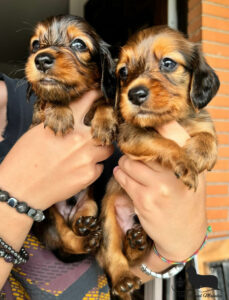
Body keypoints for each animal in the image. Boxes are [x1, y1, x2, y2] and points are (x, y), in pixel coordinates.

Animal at [25, 15, 117, 260]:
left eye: (78, 44)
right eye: (35, 45)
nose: (41, 59)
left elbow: (104, 101)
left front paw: (105, 124)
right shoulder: (36, 118)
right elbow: (49, 99)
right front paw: (58, 113)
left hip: (89, 205)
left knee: (77, 225)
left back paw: (86, 227)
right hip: (49, 218)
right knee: (68, 241)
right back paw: (87, 238)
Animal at [113, 120, 207, 282]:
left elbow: (208, 135)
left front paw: (198, 154)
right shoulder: (132, 133)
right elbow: (164, 142)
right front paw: (186, 162)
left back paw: (135, 243)